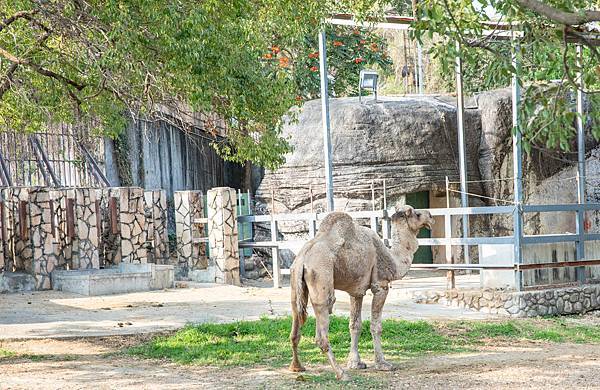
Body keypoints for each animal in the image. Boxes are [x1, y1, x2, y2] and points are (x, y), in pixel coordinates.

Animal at [288, 206, 434, 380]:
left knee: (295, 324)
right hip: (321, 277)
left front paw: (355, 363)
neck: (393, 258)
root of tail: (302, 259)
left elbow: (355, 324)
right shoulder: (380, 285)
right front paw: (383, 364)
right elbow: (376, 326)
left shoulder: (356, 291)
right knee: (322, 326)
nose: (430, 216)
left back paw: (297, 367)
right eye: (417, 214)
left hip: (296, 283)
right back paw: (341, 373)